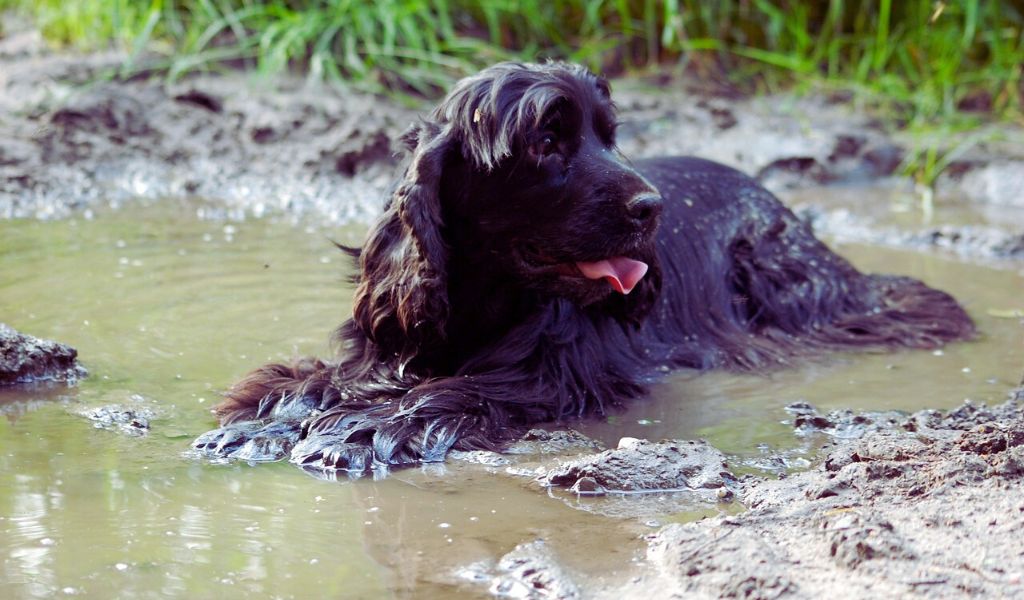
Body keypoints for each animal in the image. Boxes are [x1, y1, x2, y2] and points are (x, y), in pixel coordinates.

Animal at [193, 61, 974, 470]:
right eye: (546, 140)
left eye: (610, 135)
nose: (653, 207)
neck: (487, 299)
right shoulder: (395, 340)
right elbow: (324, 379)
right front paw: (264, 420)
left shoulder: (553, 373)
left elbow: (457, 392)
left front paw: (360, 431)